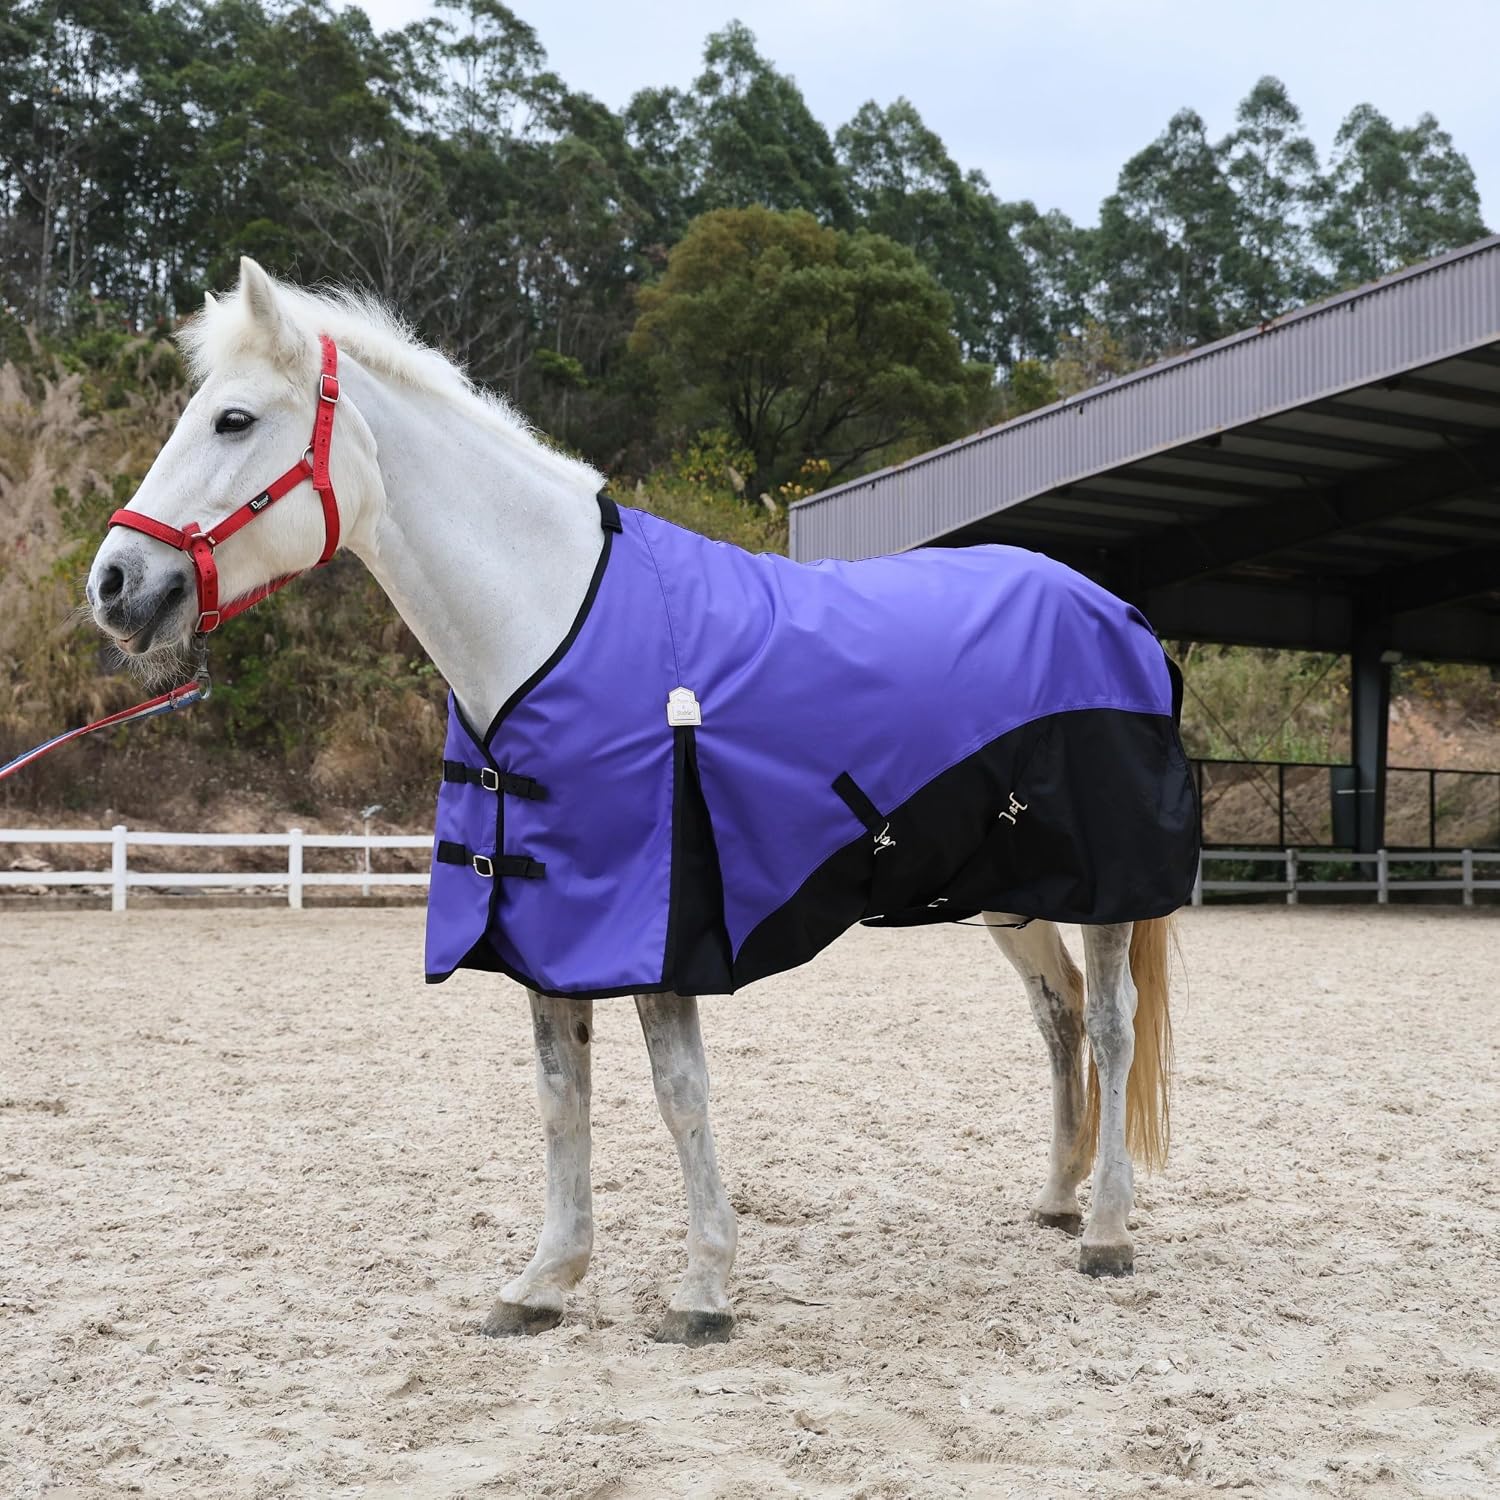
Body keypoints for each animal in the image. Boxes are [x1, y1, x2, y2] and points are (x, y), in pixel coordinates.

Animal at [85, 259, 1195, 1346]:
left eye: (234, 420)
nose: (114, 583)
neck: (549, 621)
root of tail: (1121, 614)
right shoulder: (542, 924)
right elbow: (559, 1098)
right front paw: (544, 1282)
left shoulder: (661, 925)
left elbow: (679, 1094)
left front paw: (703, 1286)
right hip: (1010, 889)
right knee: (1057, 1017)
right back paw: (1056, 1198)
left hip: (1105, 891)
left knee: (1111, 1027)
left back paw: (1106, 1230)